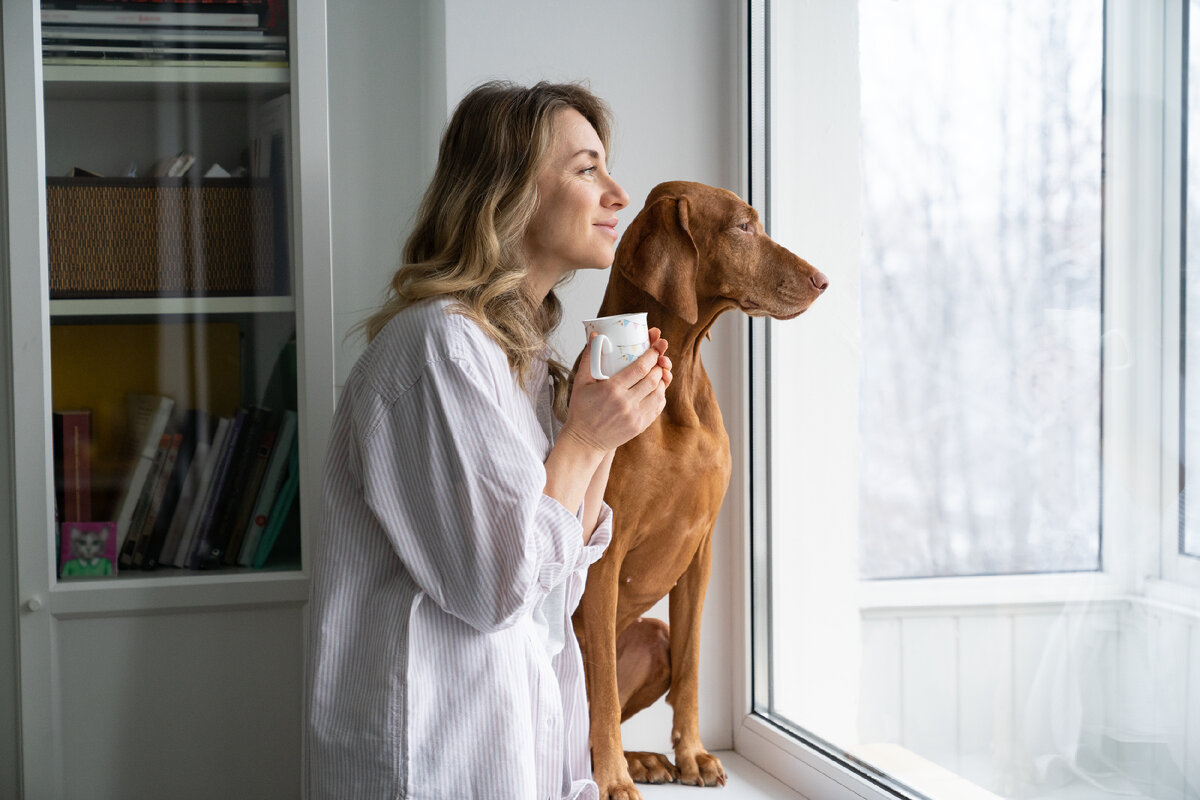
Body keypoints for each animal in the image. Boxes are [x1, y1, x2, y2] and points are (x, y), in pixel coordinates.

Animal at [571, 181, 825, 800]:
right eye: (742, 227)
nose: (822, 279)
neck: (677, 392)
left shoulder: (700, 551)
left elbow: (691, 665)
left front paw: (693, 755)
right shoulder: (604, 557)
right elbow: (603, 688)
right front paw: (612, 781)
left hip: (651, 634)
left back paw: (642, 758)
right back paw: (614, 766)